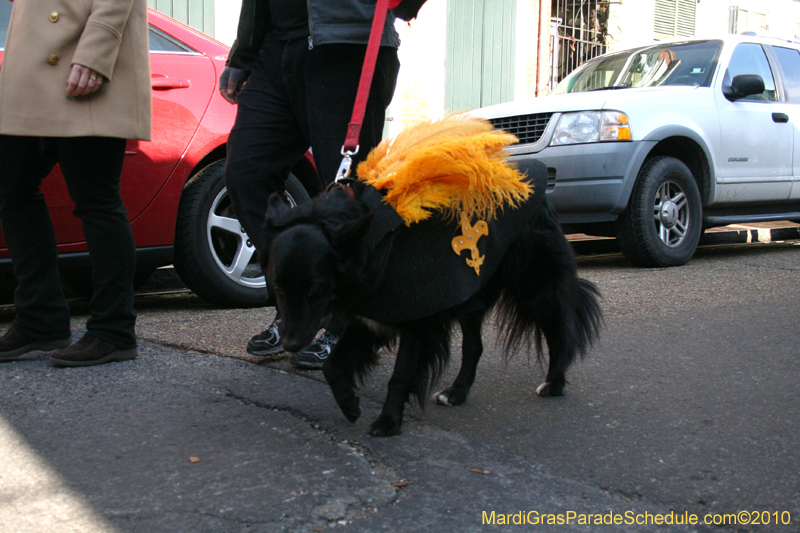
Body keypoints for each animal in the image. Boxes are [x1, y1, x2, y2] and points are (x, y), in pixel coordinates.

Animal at [262, 161, 600, 436]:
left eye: (315, 290)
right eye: (277, 288)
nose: (290, 344)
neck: (376, 245)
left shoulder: (416, 323)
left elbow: (399, 376)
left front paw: (388, 421)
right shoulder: (369, 320)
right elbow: (332, 366)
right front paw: (350, 405)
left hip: (535, 290)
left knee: (561, 334)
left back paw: (554, 383)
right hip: (471, 296)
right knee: (474, 348)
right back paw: (457, 392)